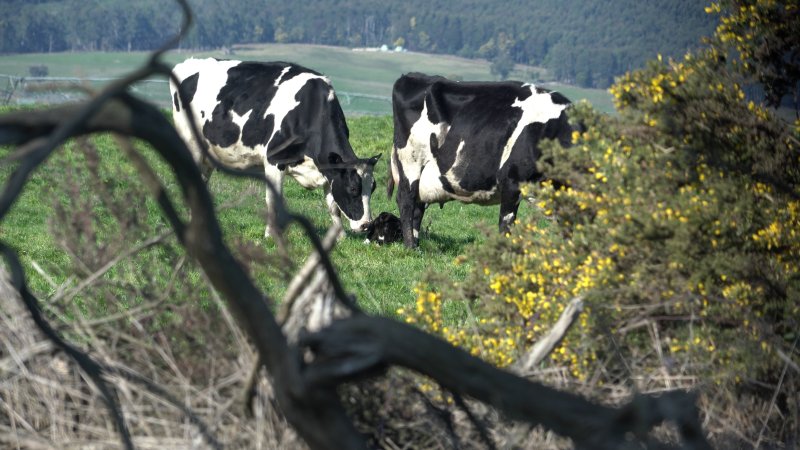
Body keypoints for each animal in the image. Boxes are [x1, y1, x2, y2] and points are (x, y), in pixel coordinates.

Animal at [170, 57, 382, 236]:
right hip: (190, 143)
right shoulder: (273, 161)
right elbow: (272, 201)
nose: (367, 225)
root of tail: (187, 63)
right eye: (353, 188)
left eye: (372, 188)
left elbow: (333, 206)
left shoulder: (328, 169)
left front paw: (339, 236)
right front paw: (271, 235)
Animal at [390, 74, 572, 250]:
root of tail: (410, 77)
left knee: (418, 206)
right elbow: (506, 225)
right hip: (411, 161)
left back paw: (417, 245)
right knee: (406, 200)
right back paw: (410, 246)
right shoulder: (511, 181)